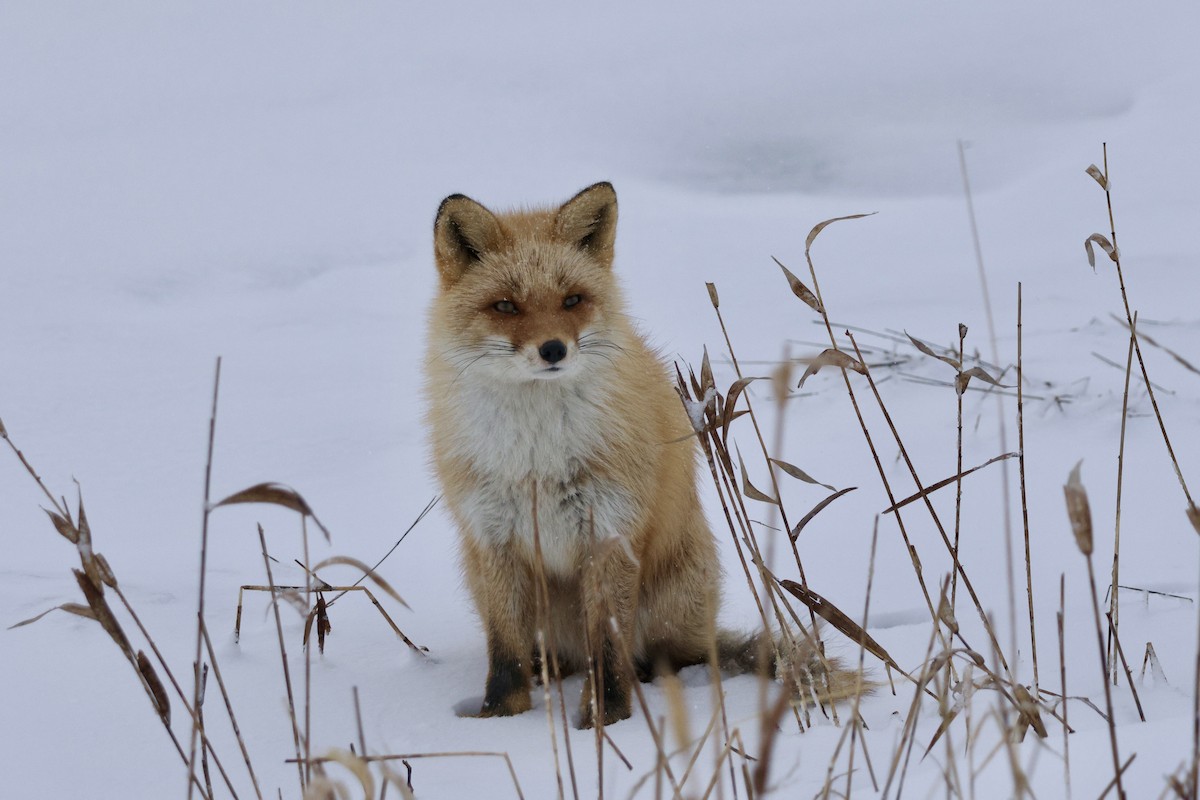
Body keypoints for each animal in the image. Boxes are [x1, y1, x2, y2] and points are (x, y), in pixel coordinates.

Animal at [425, 182, 851, 727]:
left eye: (572, 299)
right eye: (505, 306)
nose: (553, 350)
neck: (538, 452)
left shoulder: (610, 531)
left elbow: (607, 649)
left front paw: (605, 721)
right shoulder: (493, 538)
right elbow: (506, 654)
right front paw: (502, 720)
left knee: (656, 655)